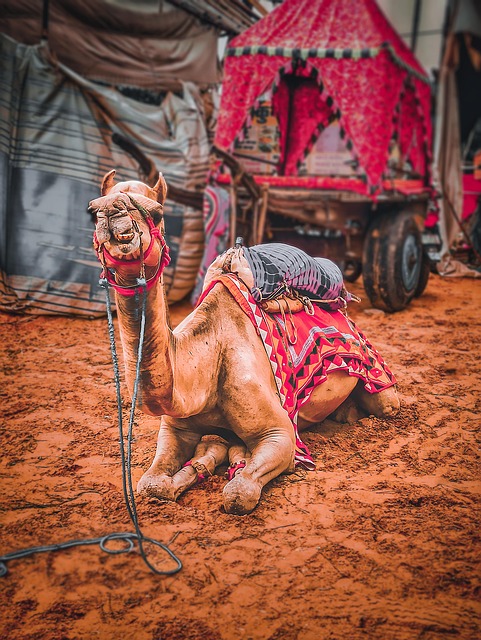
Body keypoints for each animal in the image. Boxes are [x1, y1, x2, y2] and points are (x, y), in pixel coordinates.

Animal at [89, 170, 400, 515]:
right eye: (93, 210)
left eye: (156, 212)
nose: (112, 213)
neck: (202, 368)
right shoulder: (175, 428)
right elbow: (150, 484)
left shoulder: (281, 434)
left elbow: (239, 494)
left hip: (379, 381)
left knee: (386, 402)